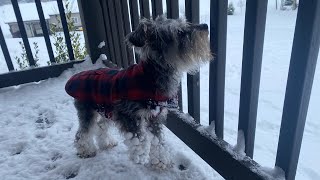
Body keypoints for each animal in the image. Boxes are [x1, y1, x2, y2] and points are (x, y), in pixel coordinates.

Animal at [64, 15, 212, 169]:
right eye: (179, 32)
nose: (205, 26)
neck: (150, 77)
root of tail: (73, 80)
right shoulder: (127, 115)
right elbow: (140, 139)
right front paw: (140, 156)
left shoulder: (154, 117)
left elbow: (158, 141)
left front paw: (160, 161)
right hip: (88, 112)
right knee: (83, 133)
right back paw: (85, 151)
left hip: (106, 110)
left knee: (101, 126)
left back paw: (107, 143)